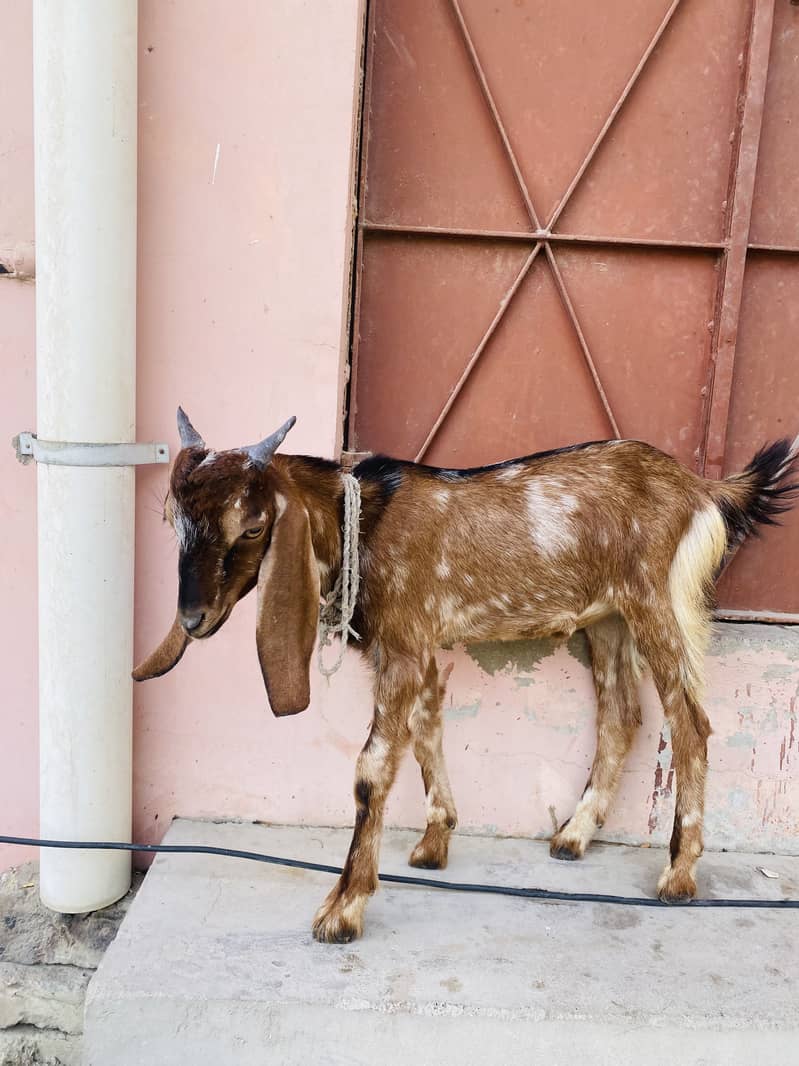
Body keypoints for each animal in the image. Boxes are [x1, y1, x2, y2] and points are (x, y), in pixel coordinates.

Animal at [134, 408, 799, 942]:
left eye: (252, 526)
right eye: (171, 519)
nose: (192, 619)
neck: (362, 524)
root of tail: (702, 489)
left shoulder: (404, 642)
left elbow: (373, 768)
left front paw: (343, 908)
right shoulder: (415, 646)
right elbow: (427, 729)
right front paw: (435, 843)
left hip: (659, 603)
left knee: (690, 723)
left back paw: (679, 874)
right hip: (609, 619)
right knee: (622, 715)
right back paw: (574, 835)